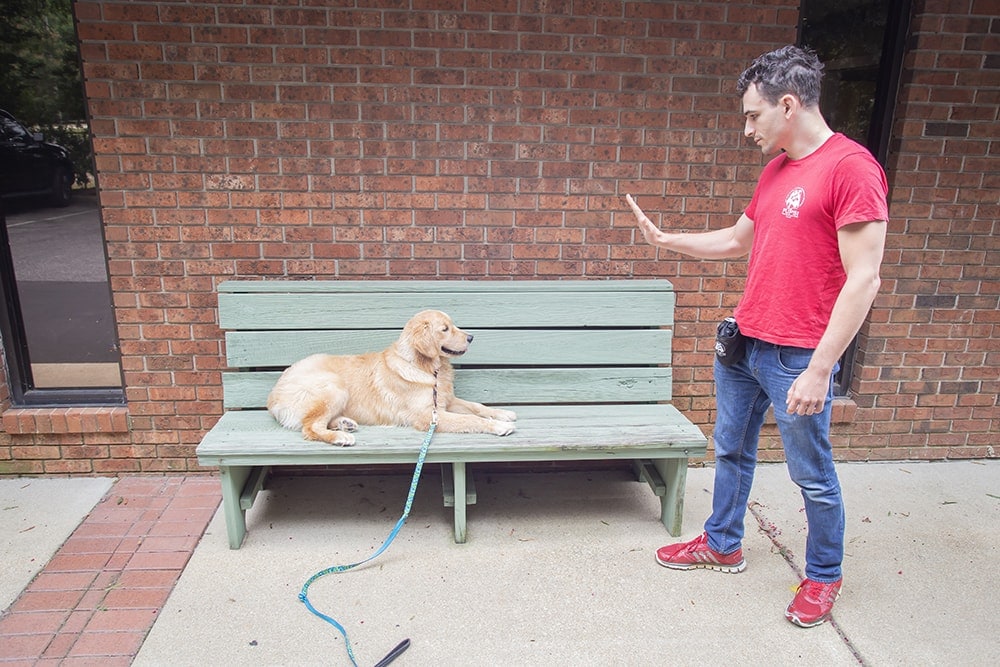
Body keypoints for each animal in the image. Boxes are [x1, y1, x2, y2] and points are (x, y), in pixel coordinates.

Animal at [266, 310, 516, 446]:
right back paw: (340, 437)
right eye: (445, 329)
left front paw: (503, 414)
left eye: (452, 325)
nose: (471, 337)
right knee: (310, 427)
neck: (427, 368)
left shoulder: (447, 401)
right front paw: (499, 426)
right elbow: (470, 419)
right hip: (333, 386)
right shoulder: (429, 416)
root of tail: (272, 396)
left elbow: (476, 406)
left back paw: (345, 424)